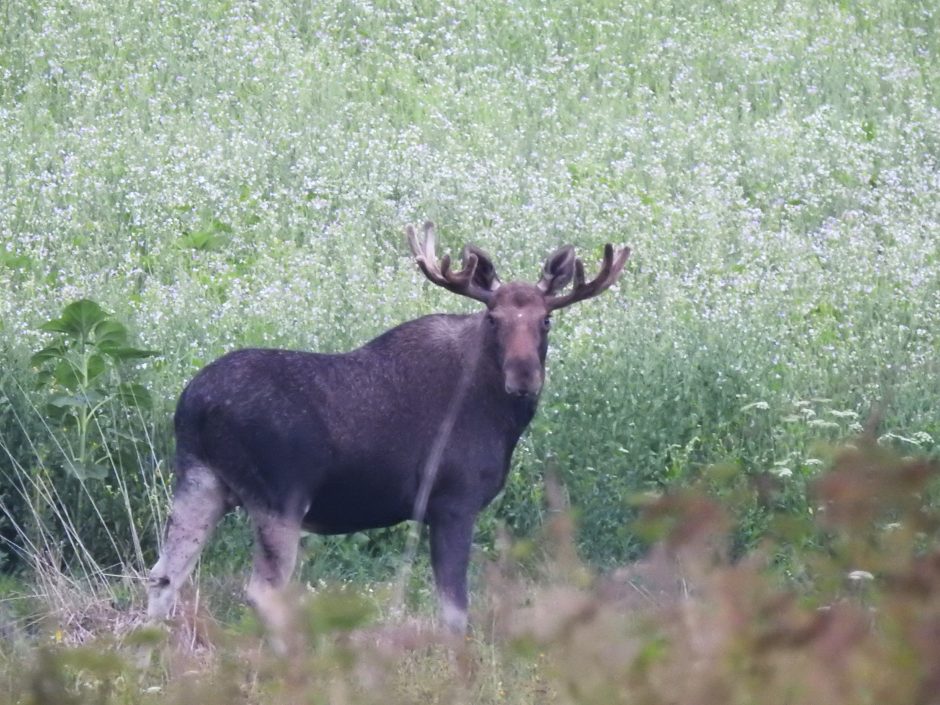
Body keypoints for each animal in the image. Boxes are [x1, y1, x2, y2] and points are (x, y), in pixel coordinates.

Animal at [147, 224, 632, 640]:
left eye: (545, 320)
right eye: (493, 318)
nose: (524, 375)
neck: (502, 418)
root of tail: (194, 404)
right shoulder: (453, 501)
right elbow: (455, 611)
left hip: (199, 481)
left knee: (163, 576)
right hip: (279, 497)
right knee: (263, 593)